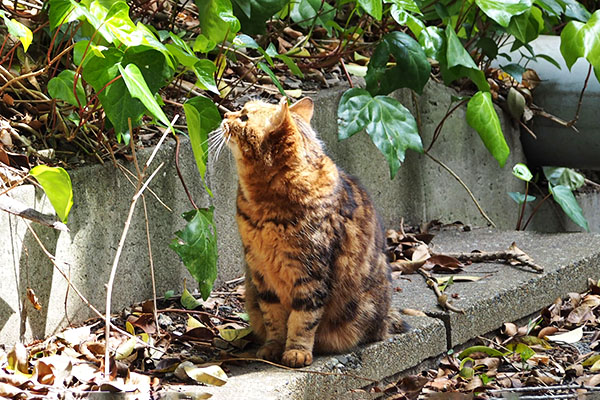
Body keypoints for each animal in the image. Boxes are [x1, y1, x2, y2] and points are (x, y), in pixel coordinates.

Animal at [214, 97, 404, 368]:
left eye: (244, 117)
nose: (224, 115)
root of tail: (388, 316)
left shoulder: (311, 273)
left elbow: (303, 320)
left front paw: (296, 351)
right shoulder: (261, 272)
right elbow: (273, 318)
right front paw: (273, 347)